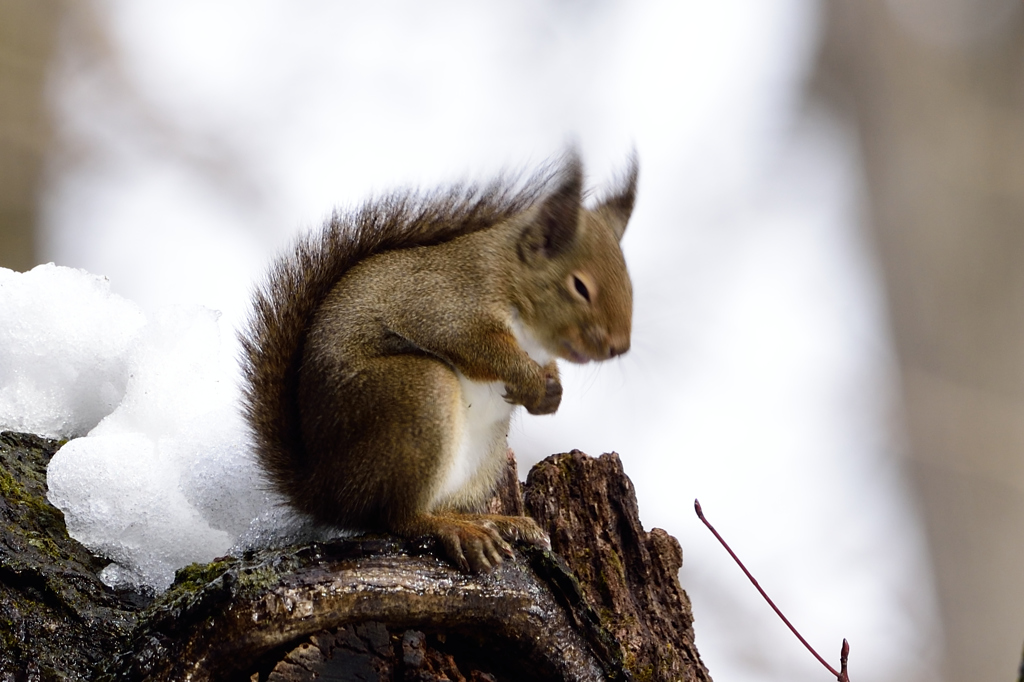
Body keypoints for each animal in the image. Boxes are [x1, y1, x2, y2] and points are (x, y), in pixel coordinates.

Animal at [239, 151, 634, 569]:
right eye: (580, 287)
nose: (619, 347)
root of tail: (325, 489)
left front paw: (551, 392)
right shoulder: (442, 306)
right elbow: (471, 345)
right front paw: (529, 380)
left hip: (487, 451)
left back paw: (496, 521)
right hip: (420, 392)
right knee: (400, 517)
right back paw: (453, 529)